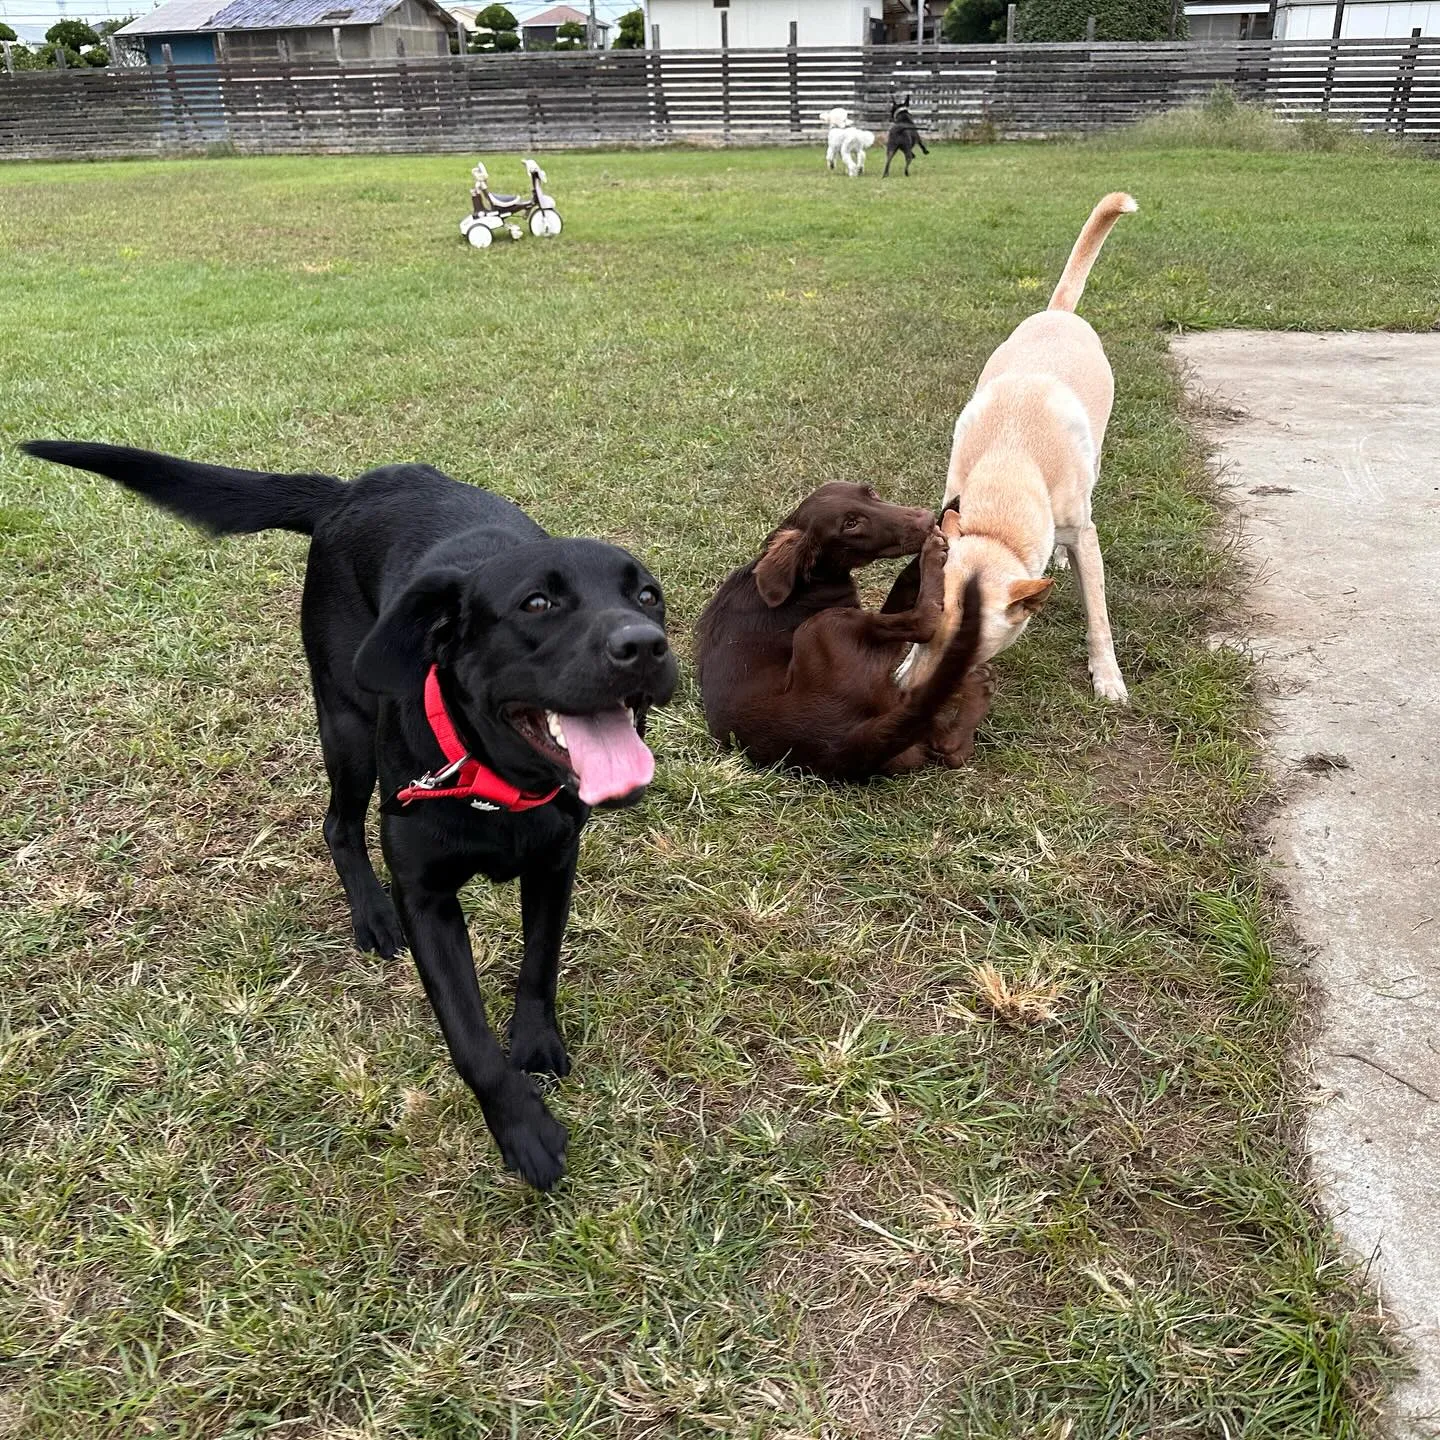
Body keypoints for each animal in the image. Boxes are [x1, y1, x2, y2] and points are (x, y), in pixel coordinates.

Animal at [21, 440, 673, 1192]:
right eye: (537, 603)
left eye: (646, 595)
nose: (645, 644)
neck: (496, 784)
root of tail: (350, 490)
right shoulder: (426, 898)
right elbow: (469, 1038)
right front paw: (522, 1128)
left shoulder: (554, 862)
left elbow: (539, 963)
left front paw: (535, 1043)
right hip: (347, 723)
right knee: (338, 826)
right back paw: (370, 914)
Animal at [694, 480, 990, 777]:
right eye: (850, 524)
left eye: (870, 492)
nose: (926, 519)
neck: (809, 581)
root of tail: (839, 744)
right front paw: (936, 541)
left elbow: (904, 579)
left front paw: (947, 513)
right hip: (824, 626)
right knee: (924, 622)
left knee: (949, 748)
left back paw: (978, 690)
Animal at [892, 191, 1140, 708]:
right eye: (921, 634)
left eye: (963, 653)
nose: (903, 697)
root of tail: (1059, 313)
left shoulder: (1085, 535)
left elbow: (1098, 615)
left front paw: (1108, 677)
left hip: (1095, 455)